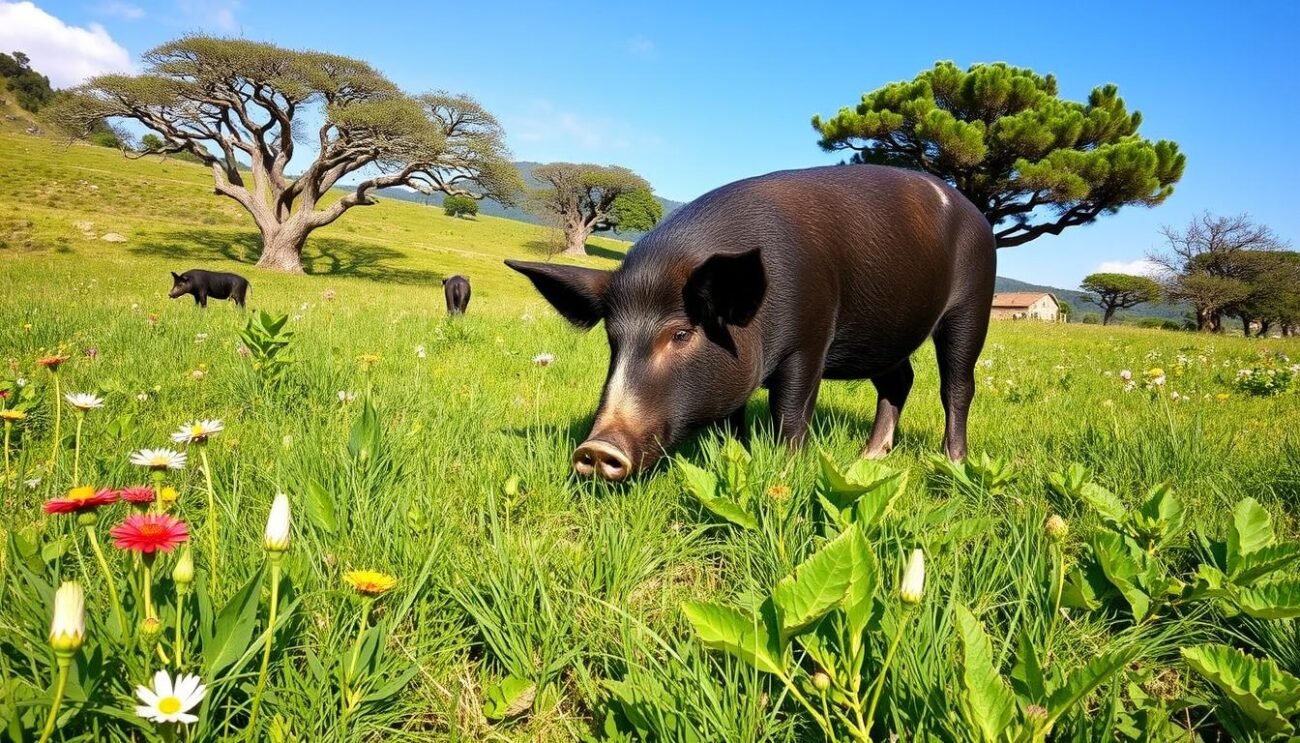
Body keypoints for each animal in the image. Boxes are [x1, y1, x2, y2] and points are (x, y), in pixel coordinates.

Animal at [506, 163, 993, 480]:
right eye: (612, 339)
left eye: (681, 333)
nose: (595, 448)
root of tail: (974, 213)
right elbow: (731, 419)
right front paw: (734, 457)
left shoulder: (811, 338)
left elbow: (789, 411)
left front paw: (786, 471)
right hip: (886, 336)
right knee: (900, 380)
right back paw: (869, 458)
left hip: (972, 305)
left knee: (957, 385)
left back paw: (954, 464)